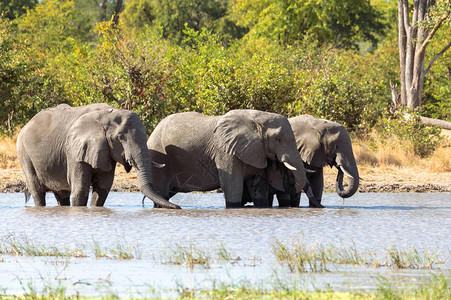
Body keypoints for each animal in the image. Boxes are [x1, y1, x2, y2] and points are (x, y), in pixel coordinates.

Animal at [17, 103, 180, 209]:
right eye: (120, 138)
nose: (178, 207)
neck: (107, 114)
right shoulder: (74, 151)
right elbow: (80, 190)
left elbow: (102, 189)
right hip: (24, 154)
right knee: (37, 191)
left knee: (62, 194)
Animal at [147, 110, 324, 209]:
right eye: (278, 140)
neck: (255, 119)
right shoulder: (225, 151)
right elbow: (233, 186)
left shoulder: (255, 151)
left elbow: (258, 185)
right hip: (160, 159)